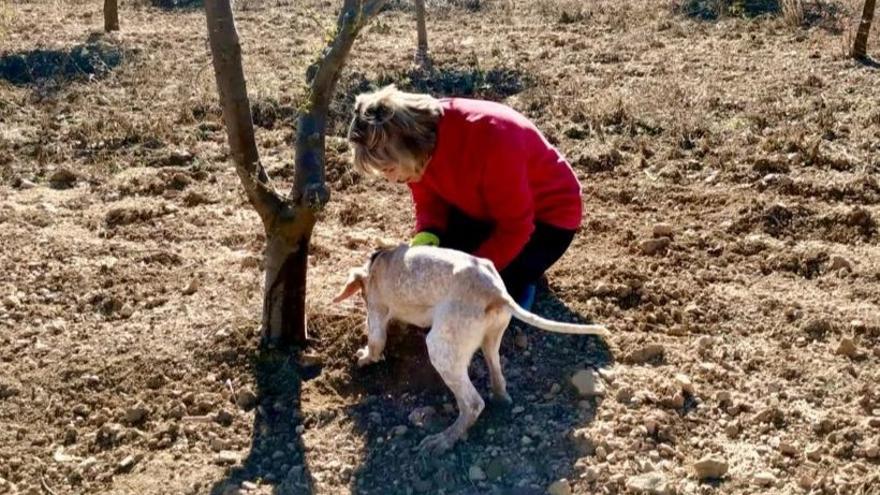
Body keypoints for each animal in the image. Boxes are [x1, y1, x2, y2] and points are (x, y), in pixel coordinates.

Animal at [334, 246, 608, 456]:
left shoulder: (377, 313)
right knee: (497, 377)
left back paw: (444, 440)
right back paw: (500, 399)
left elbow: (375, 343)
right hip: (491, 339)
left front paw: (365, 357)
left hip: (440, 348)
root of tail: (496, 292)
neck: (377, 263)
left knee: (473, 403)